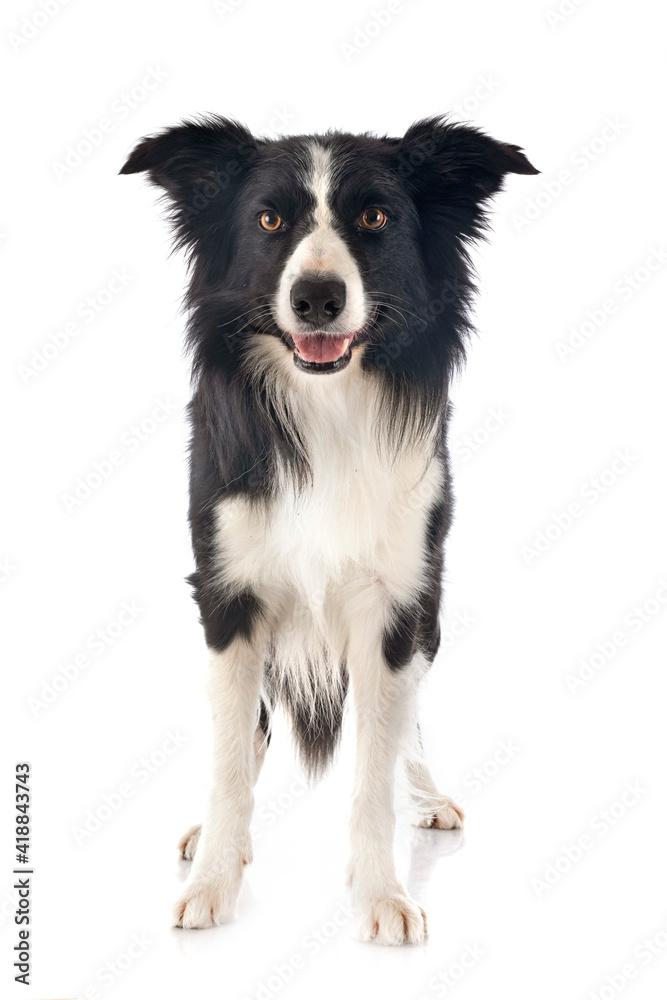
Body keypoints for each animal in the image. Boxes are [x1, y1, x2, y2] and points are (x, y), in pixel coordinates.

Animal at [120, 117, 536, 944]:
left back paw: (426, 796)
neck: (324, 408)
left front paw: (381, 895)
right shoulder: (227, 595)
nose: (316, 296)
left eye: (374, 217)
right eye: (268, 221)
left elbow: (375, 765)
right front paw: (214, 874)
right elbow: (229, 760)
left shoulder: (394, 602)